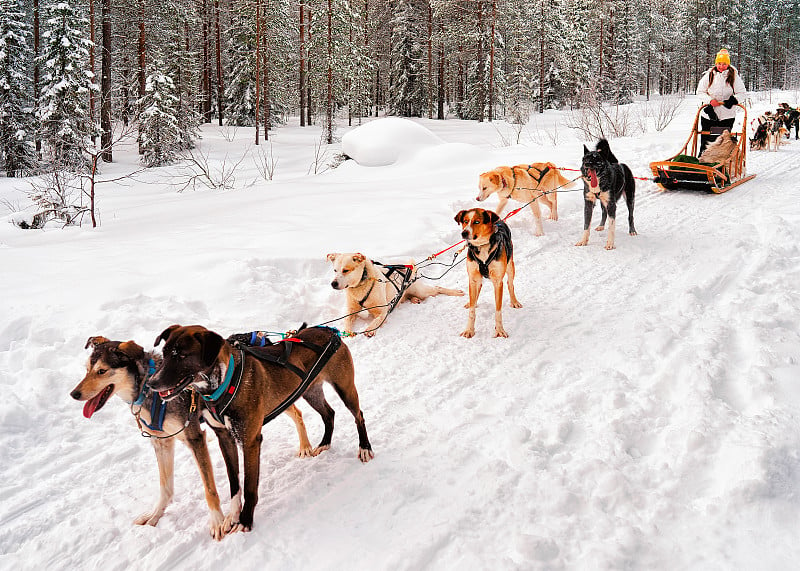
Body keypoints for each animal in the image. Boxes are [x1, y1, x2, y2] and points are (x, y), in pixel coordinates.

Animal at [147, 324, 372, 536]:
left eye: (181, 355)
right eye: (164, 353)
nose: (151, 383)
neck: (224, 383)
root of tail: (328, 330)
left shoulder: (250, 440)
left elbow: (249, 486)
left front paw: (245, 520)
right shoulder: (225, 438)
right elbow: (234, 482)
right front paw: (232, 516)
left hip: (345, 388)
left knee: (358, 415)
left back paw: (365, 448)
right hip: (311, 392)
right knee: (329, 414)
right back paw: (325, 443)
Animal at [324, 252, 462, 338]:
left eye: (345, 270)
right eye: (335, 270)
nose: (333, 283)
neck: (361, 286)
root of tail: (409, 269)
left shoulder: (383, 311)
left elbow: (377, 321)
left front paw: (370, 329)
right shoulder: (351, 310)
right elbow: (347, 319)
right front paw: (347, 331)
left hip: (421, 291)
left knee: (437, 288)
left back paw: (455, 292)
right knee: (406, 296)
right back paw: (414, 300)